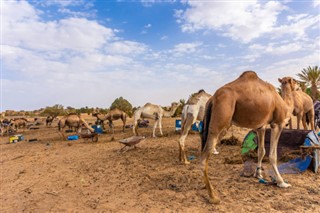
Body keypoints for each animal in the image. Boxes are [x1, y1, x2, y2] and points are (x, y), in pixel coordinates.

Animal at [201, 71, 294, 205]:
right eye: (295, 81)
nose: (299, 86)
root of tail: (212, 98)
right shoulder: (277, 124)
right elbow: (272, 155)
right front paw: (281, 182)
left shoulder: (260, 127)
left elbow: (261, 151)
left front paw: (258, 174)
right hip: (221, 120)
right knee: (204, 157)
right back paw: (213, 196)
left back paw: (207, 187)